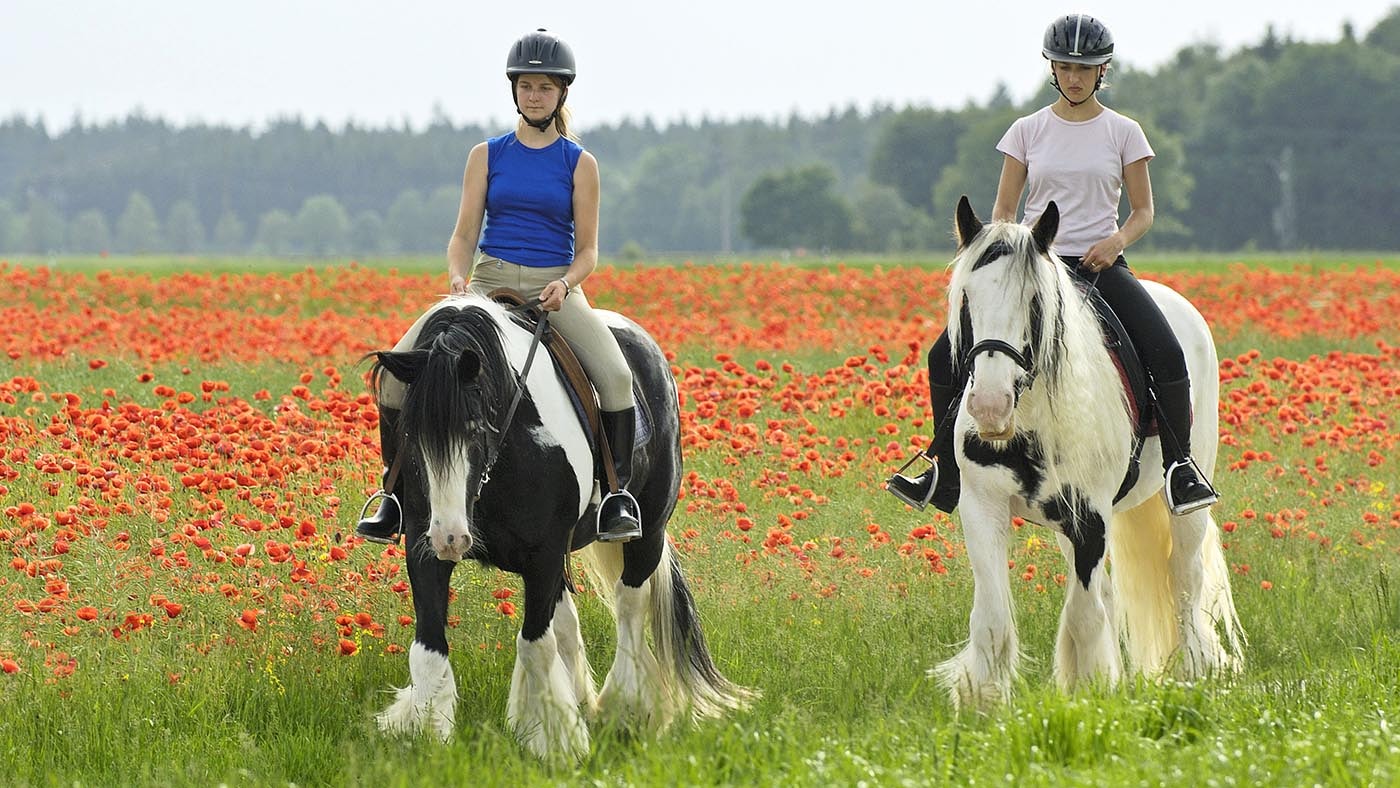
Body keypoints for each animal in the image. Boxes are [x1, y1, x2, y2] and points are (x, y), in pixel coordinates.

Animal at [366, 293, 750, 755]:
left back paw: (624, 709)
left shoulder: (544, 554)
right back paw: (584, 700)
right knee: (568, 619)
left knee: (629, 604)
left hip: (649, 529)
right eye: (407, 433)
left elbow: (534, 644)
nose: (451, 538)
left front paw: (550, 739)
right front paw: (427, 737)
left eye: (475, 429)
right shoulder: (424, 551)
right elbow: (429, 648)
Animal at [935, 195, 1243, 708]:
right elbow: (993, 620)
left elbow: (1083, 615)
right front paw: (985, 705)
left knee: (1183, 579)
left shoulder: (1090, 516)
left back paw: (1191, 672)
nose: (989, 407)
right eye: (966, 300)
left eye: (1034, 302)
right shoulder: (983, 506)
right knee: (1111, 593)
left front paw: (1090, 694)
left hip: (1182, 502)